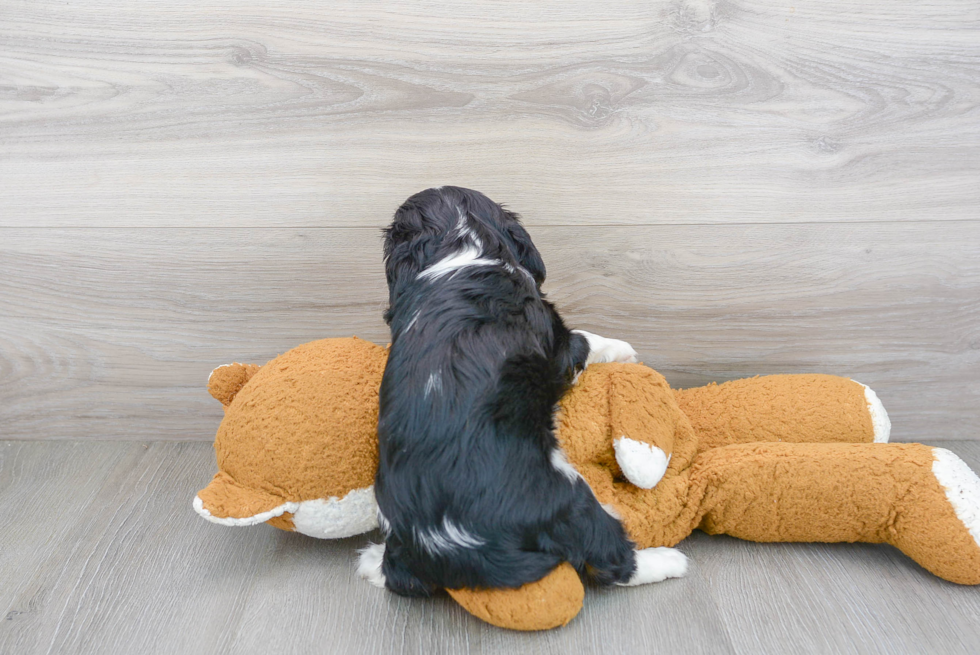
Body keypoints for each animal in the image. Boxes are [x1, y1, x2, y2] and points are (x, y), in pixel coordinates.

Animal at [360, 187, 688, 596]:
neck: (458, 243)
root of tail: (454, 548)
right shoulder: (556, 341)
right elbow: (583, 339)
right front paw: (623, 348)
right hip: (566, 497)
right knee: (610, 558)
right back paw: (668, 560)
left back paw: (371, 563)